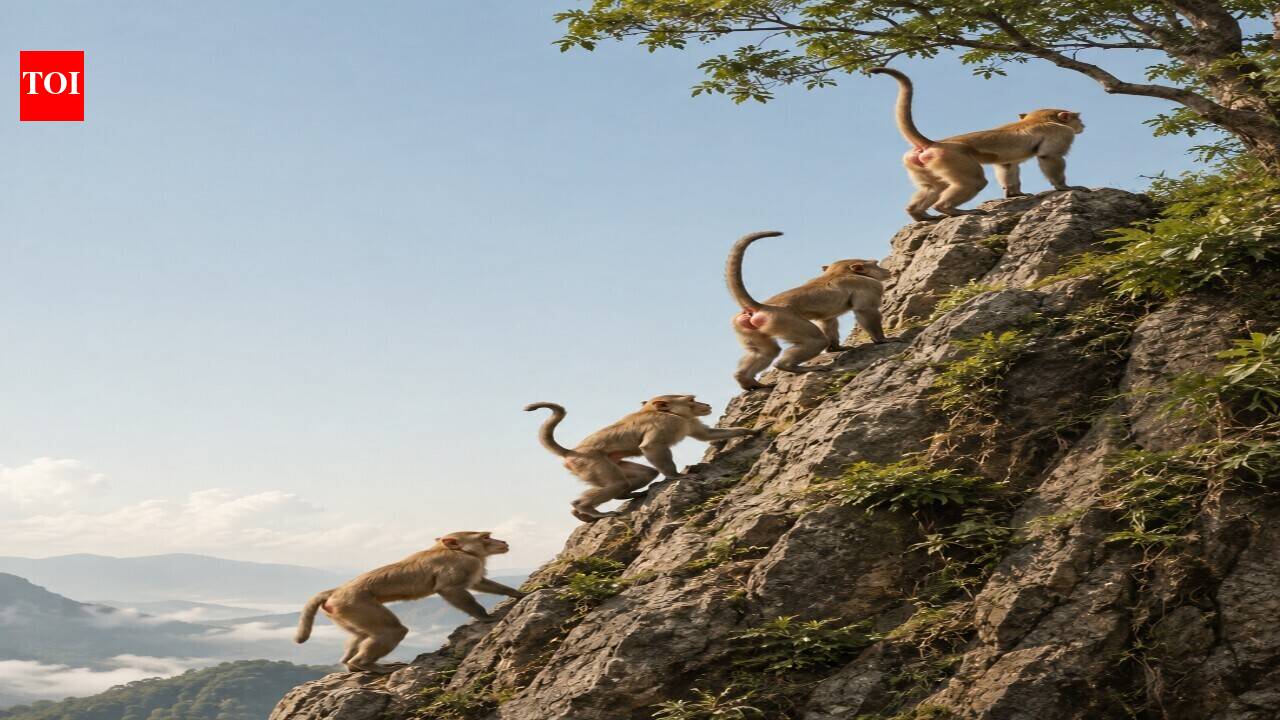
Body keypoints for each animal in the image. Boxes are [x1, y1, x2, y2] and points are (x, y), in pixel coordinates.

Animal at [295, 531, 524, 674]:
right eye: (486, 537)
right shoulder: (463, 563)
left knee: (361, 634)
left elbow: (479, 583)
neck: (458, 550)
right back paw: (365, 665)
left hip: (343, 613)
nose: (503, 542)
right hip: (355, 604)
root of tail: (337, 591)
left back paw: (350, 665)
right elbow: (449, 589)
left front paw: (517, 593)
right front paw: (484, 616)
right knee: (393, 631)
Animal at [524, 396, 758, 522]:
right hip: (590, 463)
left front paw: (746, 431)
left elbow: (706, 435)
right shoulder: (667, 423)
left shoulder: (687, 421)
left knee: (645, 473)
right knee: (617, 482)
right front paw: (675, 476)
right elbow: (651, 446)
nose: (705, 404)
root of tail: (572, 452)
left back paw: (623, 496)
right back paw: (585, 508)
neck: (670, 413)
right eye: (691, 400)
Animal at [727, 231, 892, 391]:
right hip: (782, 320)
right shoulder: (869, 285)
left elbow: (827, 319)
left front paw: (836, 347)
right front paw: (882, 340)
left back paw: (746, 381)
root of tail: (761, 306)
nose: (886, 270)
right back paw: (789, 367)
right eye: (876, 264)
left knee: (767, 351)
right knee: (816, 341)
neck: (839, 272)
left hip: (745, 326)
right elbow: (865, 310)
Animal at [869, 67, 1088, 222]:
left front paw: (1014, 193)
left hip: (918, 163)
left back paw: (919, 214)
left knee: (934, 186)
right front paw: (1064, 187)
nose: (1083, 125)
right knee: (974, 182)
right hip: (953, 158)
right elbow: (1048, 156)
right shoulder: (1061, 132)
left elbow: (1006, 165)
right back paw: (948, 209)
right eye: (1077, 119)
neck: (1036, 119)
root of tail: (933, 143)